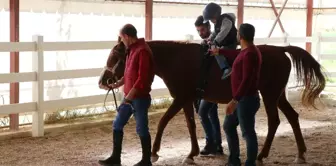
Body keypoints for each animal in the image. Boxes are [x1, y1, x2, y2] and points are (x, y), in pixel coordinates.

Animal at [100, 38, 326, 165]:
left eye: (115, 56)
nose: (103, 80)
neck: (175, 59)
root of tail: (280, 49)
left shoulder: (180, 98)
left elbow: (164, 121)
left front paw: (154, 153)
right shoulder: (187, 99)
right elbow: (191, 125)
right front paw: (191, 154)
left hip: (270, 95)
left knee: (275, 122)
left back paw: (262, 155)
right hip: (278, 95)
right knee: (293, 117)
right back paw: (300, 154)